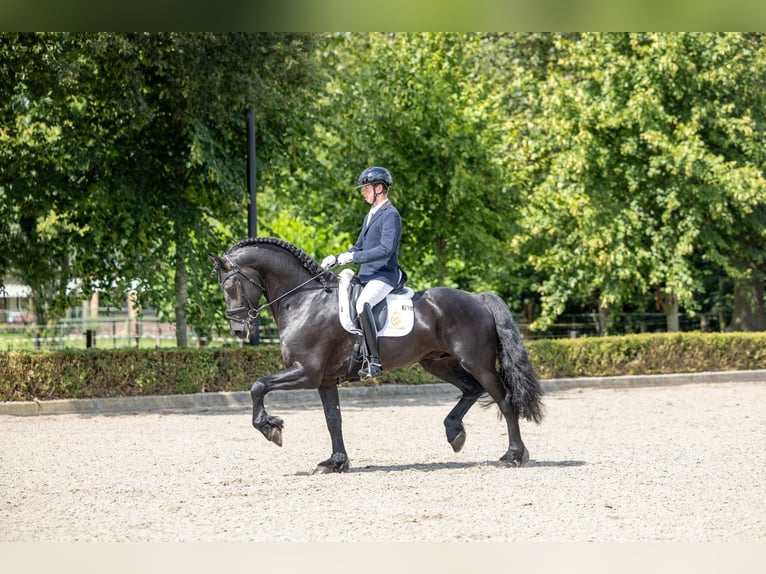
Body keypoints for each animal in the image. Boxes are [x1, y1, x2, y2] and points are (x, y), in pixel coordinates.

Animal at [209, 237, 544, 473]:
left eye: (232, 284)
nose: (238, 329)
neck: (305, 300)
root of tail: (479, 298)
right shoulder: (324, 379)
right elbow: (333, 419)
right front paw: (335, 463)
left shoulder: (307, 371)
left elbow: (258, 386)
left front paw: (271, 429)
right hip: (438, 362)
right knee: (472, 389)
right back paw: (454, 432)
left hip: (478, 362)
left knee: (504, 400)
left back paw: (513, 456)